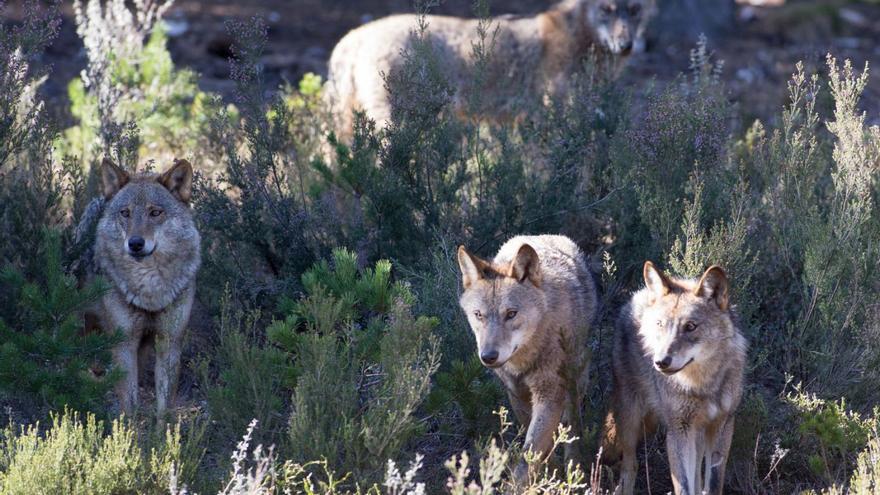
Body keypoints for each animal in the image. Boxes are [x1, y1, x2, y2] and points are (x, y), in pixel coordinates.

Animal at [79, 161, 201, 416]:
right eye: (125, 213)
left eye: (155, 213)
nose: (135, 243)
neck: (150, 292)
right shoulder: (124, 345)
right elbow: (130, 408)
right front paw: (126, 429)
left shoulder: (169, 343)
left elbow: (163, 408)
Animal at [460, 235, 600, 480]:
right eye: (478, 315)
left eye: (511, 314)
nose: (488, 356)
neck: (523, 360)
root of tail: (546, 235)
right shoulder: (516, 393)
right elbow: (534, 444)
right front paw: (548, 471)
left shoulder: (550, 394)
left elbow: (529, 456)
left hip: (575, 378)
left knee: (573, 423)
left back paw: (574, 465)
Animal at [604, 262, 748, 494]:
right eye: (661, 324)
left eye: (690, 326)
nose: (660, 361)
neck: (702, 385)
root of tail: (638, 294)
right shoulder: (678, 431)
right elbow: (684, 485)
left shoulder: (722, 426)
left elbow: (712, 483)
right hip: (631, 416)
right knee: (630, 465)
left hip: (697, 433)